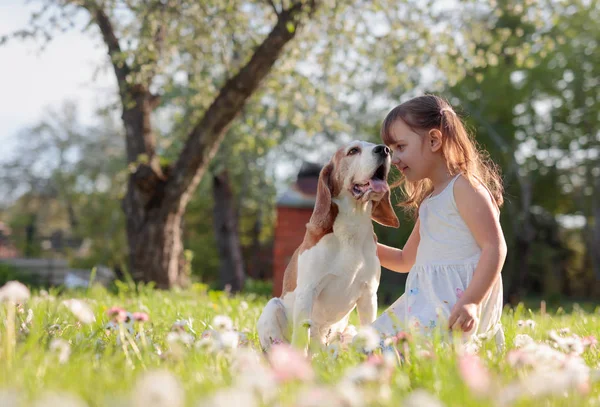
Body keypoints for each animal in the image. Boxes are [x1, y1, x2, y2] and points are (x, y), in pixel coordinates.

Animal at [256, 140, 398, 354]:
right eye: (353, 151)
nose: (384, 149)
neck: (351, 229)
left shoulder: (369, 295)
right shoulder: (308, 291)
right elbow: (302, 336)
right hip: (272, 306)